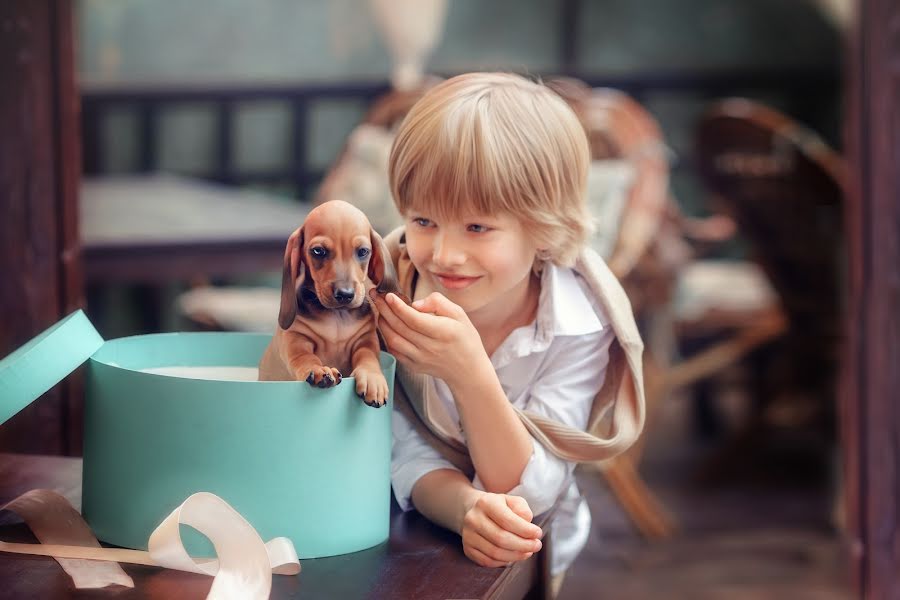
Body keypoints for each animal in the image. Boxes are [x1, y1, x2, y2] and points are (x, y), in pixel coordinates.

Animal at [256, 199, 398, 406]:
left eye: (363, 251)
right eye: (318, 251)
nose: (345, 294)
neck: (337, 317)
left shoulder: (365, 340)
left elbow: (368, 357)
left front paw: (373, 378)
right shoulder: (296, 340)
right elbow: (306, 357)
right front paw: (319, 370)